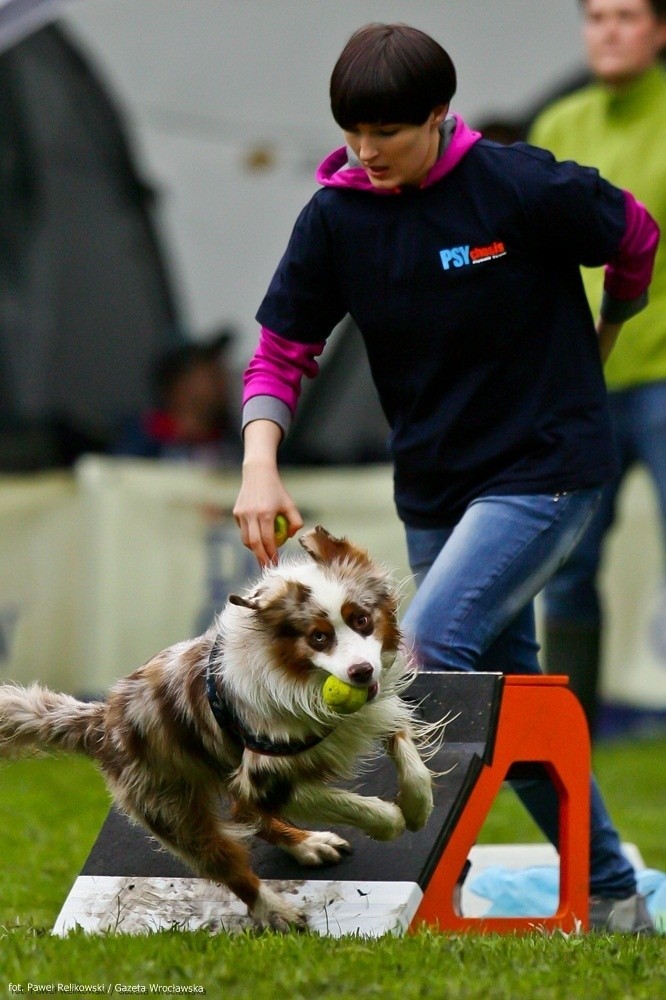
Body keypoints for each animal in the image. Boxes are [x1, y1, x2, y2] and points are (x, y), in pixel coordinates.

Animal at [0, 528, 440, 932]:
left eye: (362, 620)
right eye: (319, 637)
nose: (361, 672)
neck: (302, 681)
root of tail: (103, 718)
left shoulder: (375, 713)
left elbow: (408, 754)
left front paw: (418, 806)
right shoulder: (261, 775)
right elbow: (348, 804)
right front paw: (390, 819)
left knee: (247, 814)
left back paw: (310, 845)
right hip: (173, 810)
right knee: (231, 865)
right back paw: (276, 910)